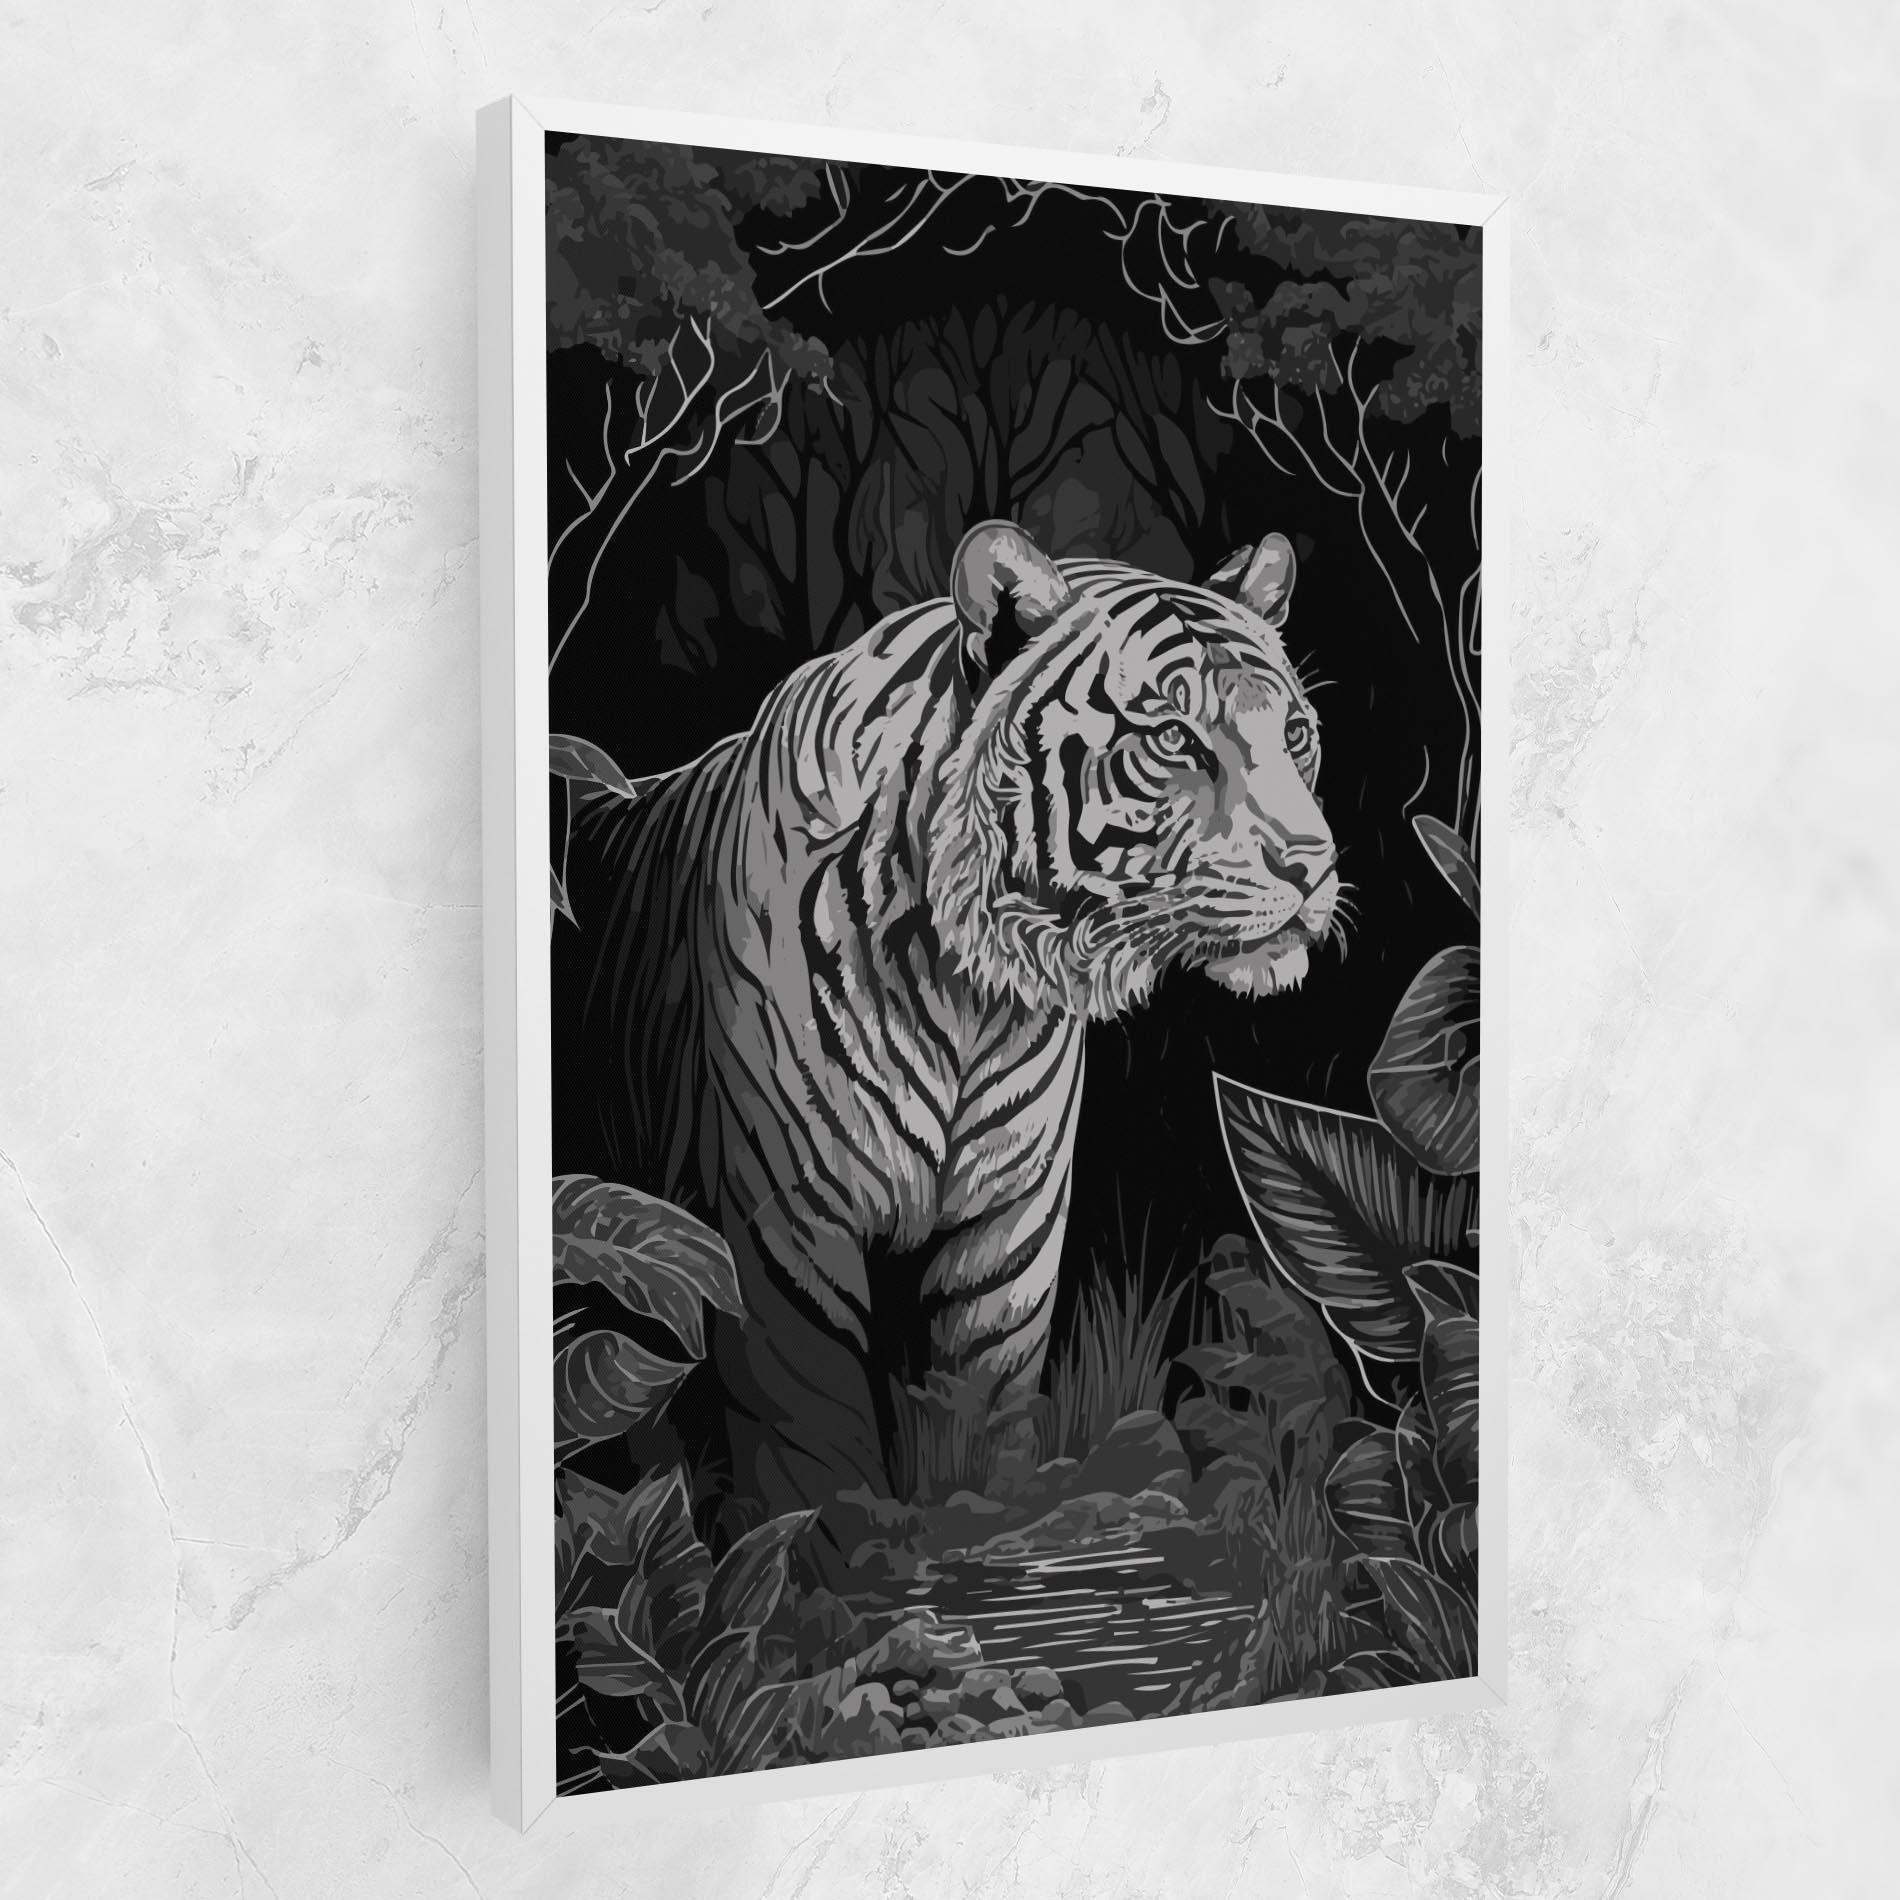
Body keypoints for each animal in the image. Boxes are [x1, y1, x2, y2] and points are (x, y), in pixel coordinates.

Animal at [559, 520, 1340, 1536]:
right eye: (1173, 738)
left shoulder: (1008, 1234)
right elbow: (810, 1456)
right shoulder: (782, 1236)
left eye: (1293, 735)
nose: (1314, 865)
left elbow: (985, 1418)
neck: (970, 995)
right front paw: (832, 1558)